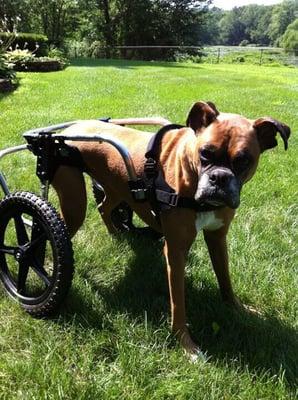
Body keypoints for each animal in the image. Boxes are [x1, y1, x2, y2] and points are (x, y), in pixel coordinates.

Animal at [51, 101, 292, 358]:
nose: (219, 177)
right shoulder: (176, 251)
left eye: (243, 160)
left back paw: (116, 234)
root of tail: (72, 128)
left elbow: (224, 276)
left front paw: (235, 307)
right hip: (74, 205)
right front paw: (186, 344)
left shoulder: (217, 238)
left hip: (117, 189)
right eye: (205, 153)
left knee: (104, 206)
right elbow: (178, 302)